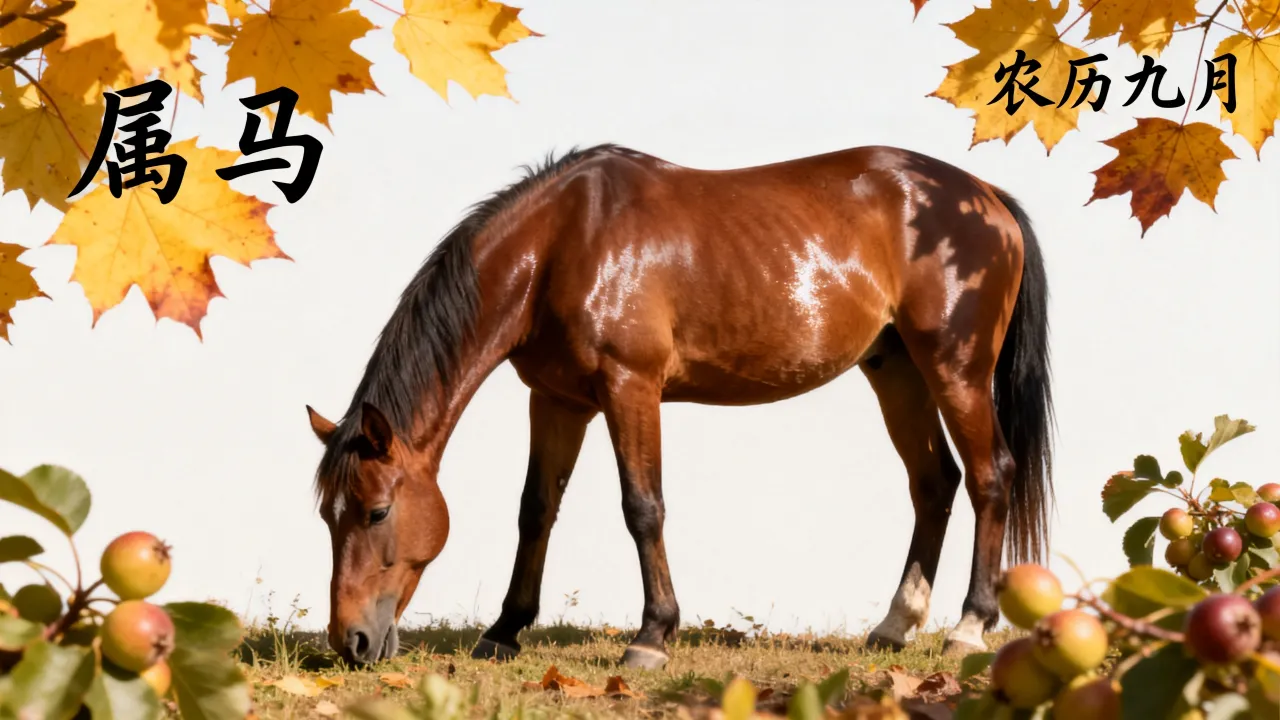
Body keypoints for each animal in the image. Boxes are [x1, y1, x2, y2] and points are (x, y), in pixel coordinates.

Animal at [305, 143, 1054, 668]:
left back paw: (968, 627)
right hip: (895, 370)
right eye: (326, 517)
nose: (351, 642)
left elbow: (643, 507)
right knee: (934, 483)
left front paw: (652, 635)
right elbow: (536, 509)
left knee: (989, 478)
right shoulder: (556, 400)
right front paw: (506, 630)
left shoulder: (630, 387)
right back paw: (895, 626)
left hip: (956, 370)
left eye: (376, 512)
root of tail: (984, 197)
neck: (563, 244)